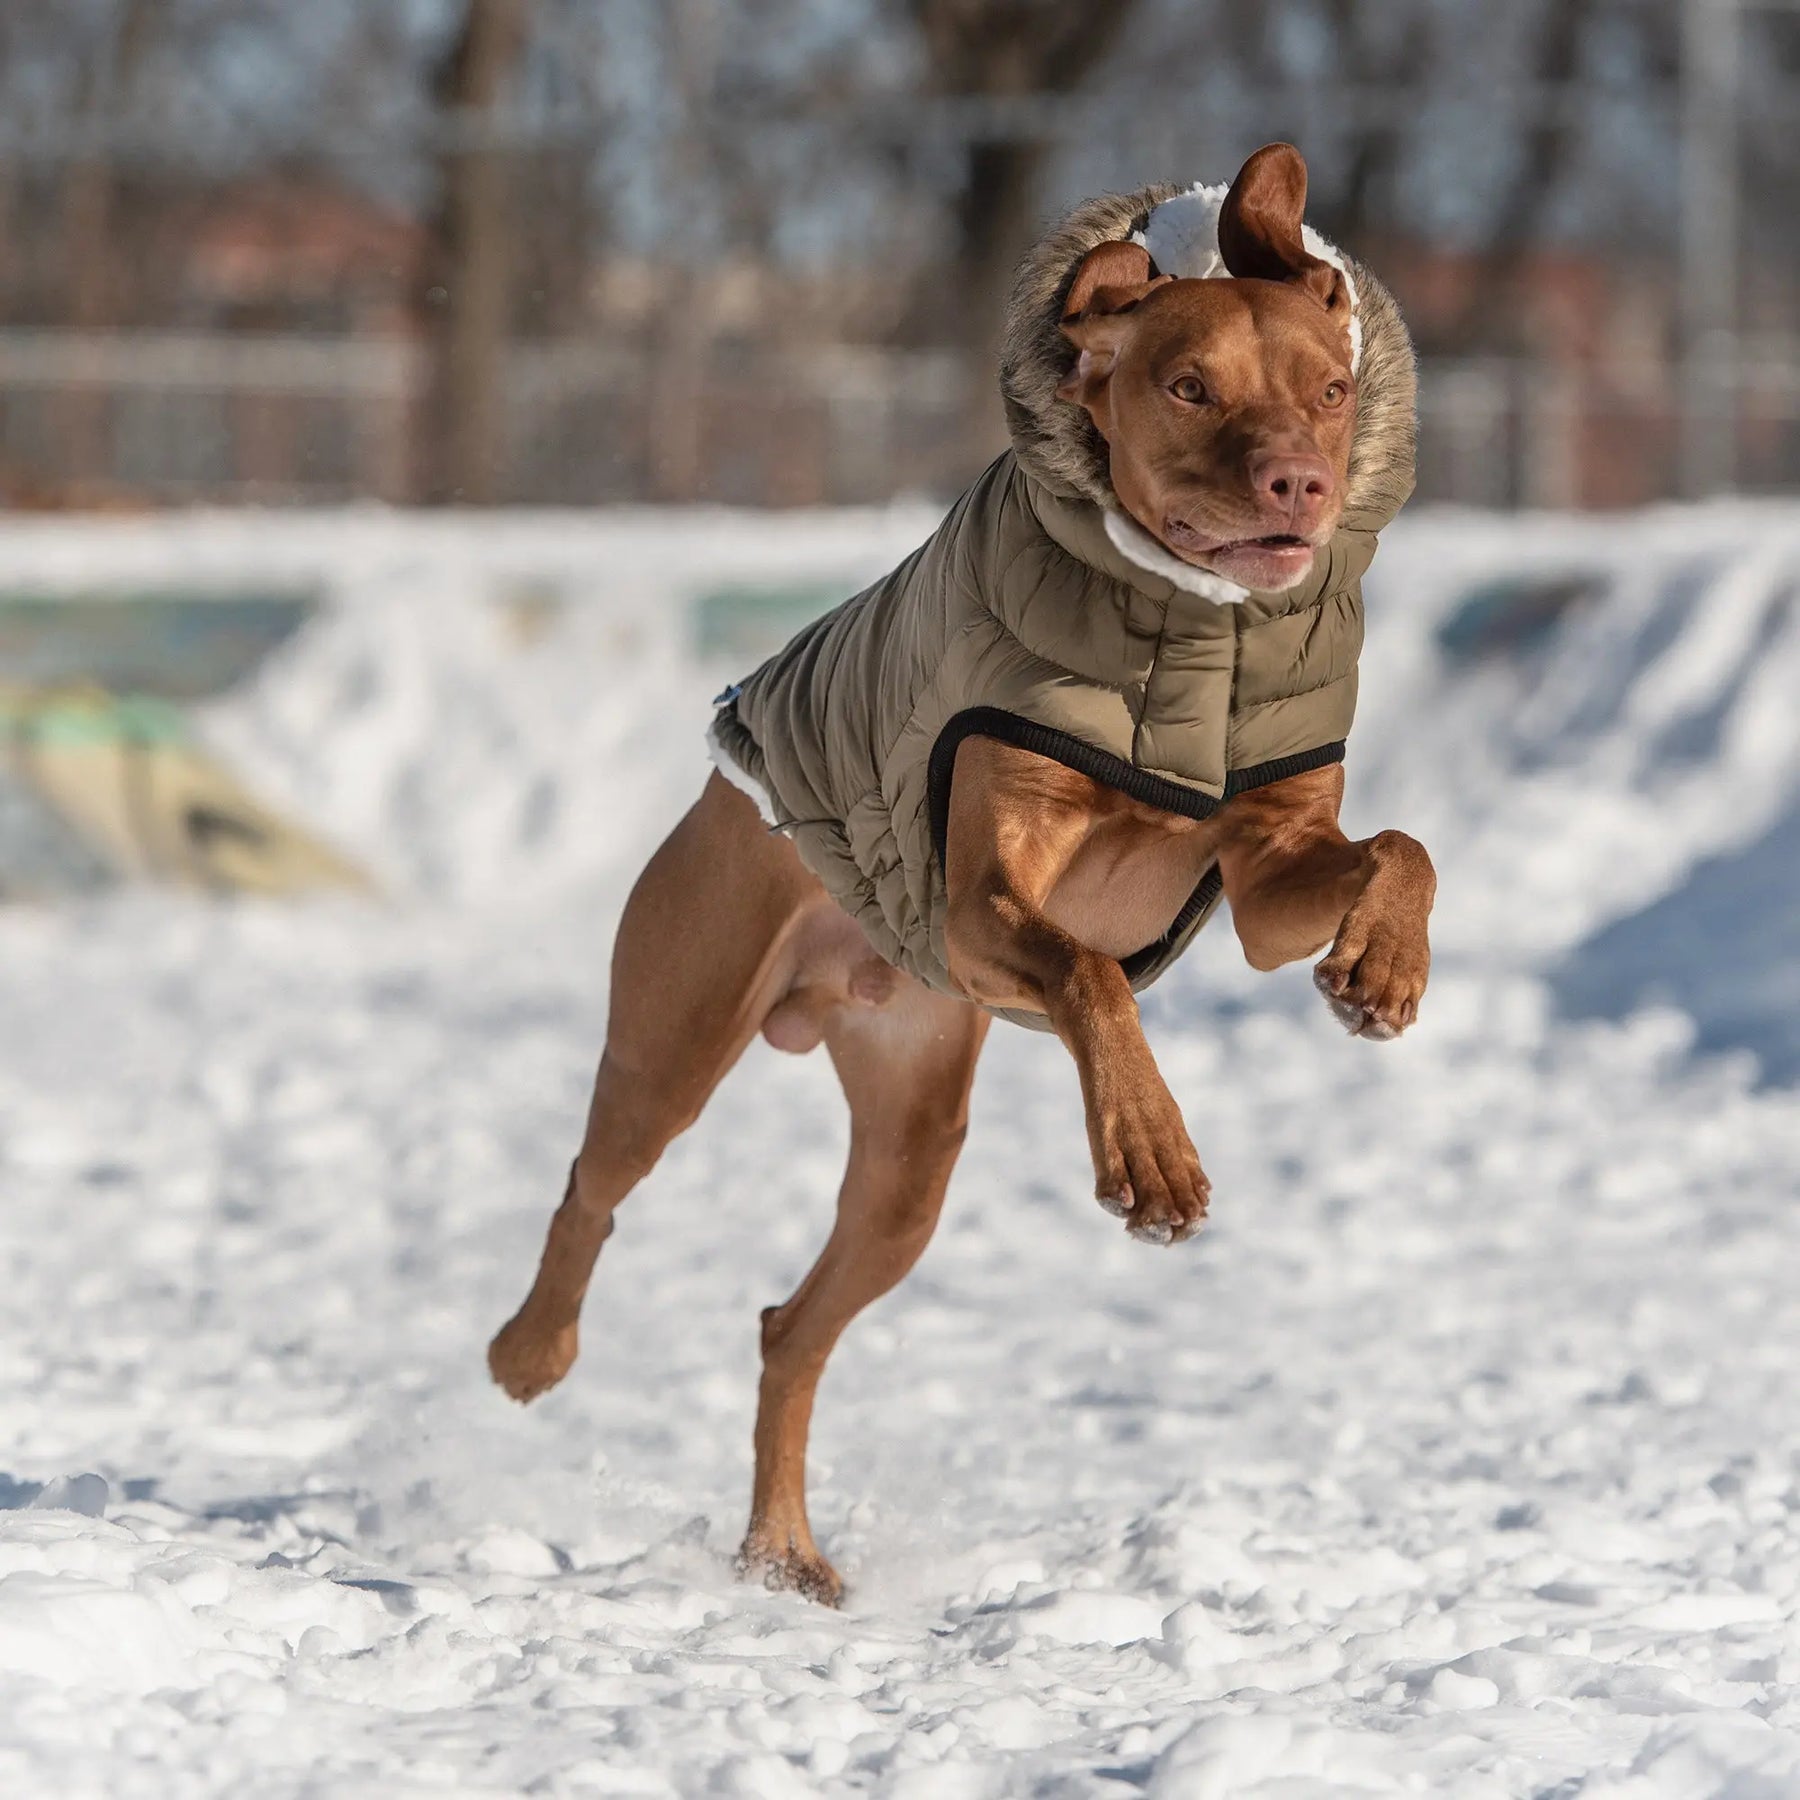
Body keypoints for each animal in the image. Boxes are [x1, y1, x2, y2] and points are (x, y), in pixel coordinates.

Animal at [482, 140, 1432, 1605]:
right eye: (1189, 386)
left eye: (1331, 391)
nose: (1299, 485)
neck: (1196, 633)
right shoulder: (983, 899)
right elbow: (1094, 971)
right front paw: (1152, 1156)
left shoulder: (1272, 865)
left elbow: (1397, 850)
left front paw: (1380, 968)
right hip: (681, 1021)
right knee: (596, 1181)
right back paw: (532, 1350)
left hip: (912, 1141)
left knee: (792, 1327)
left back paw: (782, 1552)